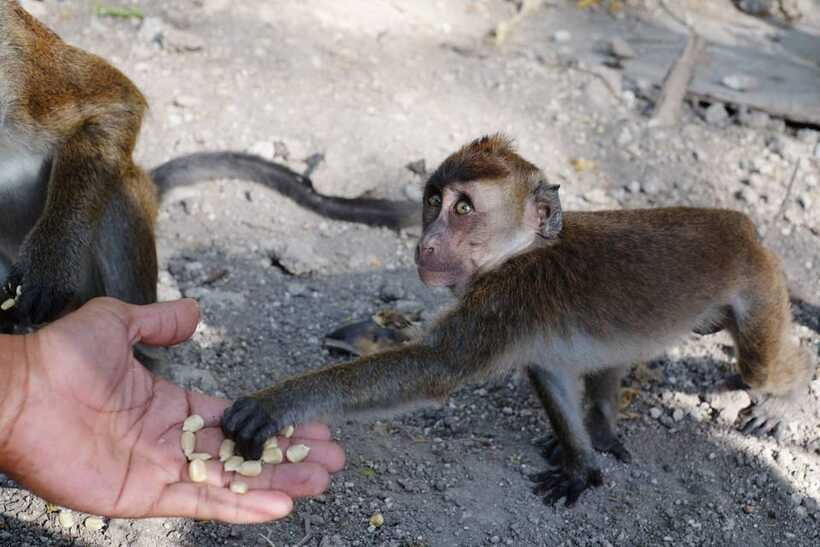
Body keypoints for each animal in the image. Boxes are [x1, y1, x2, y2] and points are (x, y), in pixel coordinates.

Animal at [222, 134, 814, 507]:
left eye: (463, 209)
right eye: (432, 200)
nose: (426, 242)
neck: (517, 253)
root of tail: (740, 224)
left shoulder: (508, 299)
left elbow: (435, 368)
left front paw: (274, 404)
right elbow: (549, 371)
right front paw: (580, 461)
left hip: (759, 285)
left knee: (763, 363)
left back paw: (786, 394)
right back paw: (600, 419)